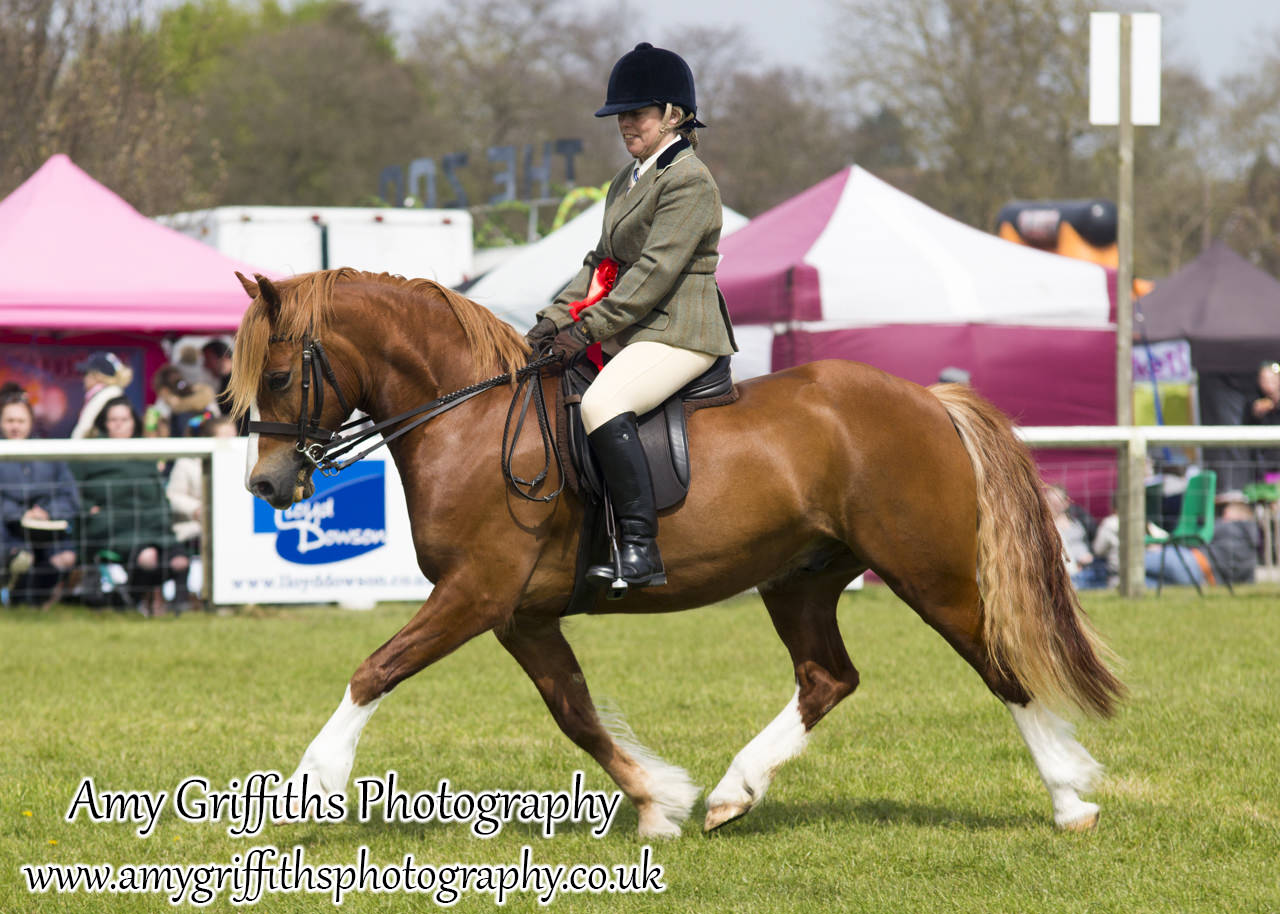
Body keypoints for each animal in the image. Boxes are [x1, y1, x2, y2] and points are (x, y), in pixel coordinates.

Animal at [230, 268, 1121, 834]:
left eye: (275, 377)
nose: (267, 486)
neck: (470, 418)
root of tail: (929, 400)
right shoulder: (519, 614)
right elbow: (575, 711)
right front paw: (660, 800)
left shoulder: (475, 592)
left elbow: (375, 668)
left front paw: (310, 781)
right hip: (800, 578)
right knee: (827, 678)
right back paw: (734, 793)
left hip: (929, 573)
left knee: (999, 667)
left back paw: (1071, 800)